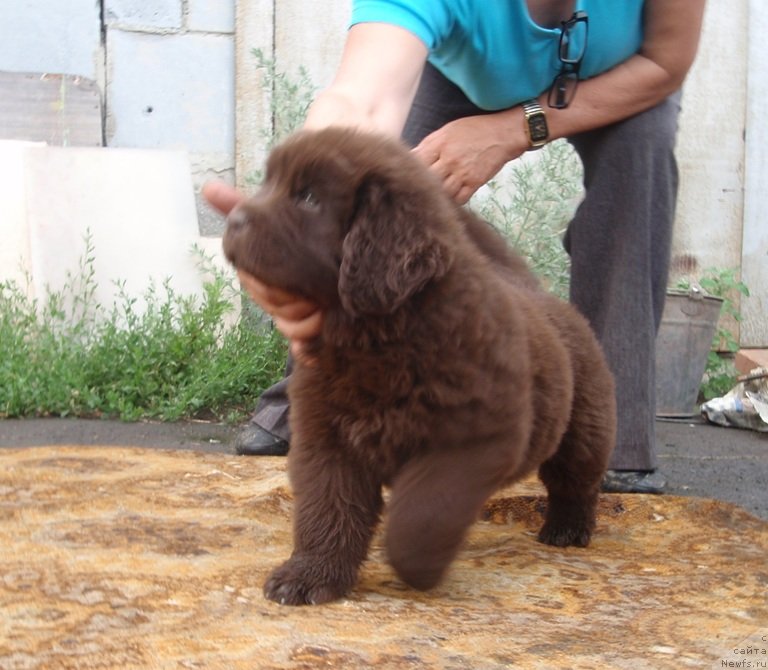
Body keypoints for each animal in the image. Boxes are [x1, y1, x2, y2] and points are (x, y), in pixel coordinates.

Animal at [220, 127, 612, 608]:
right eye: (269, 184)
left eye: (309, 197)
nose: (234, 220)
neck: (379, 336)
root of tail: (541, 293)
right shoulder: (327, 439)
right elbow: (326, 509)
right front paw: (310, 576)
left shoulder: (477, 440)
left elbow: (424, 514)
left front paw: (417, 568)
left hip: (583, 428)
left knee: (576, 480)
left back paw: (567, 529)